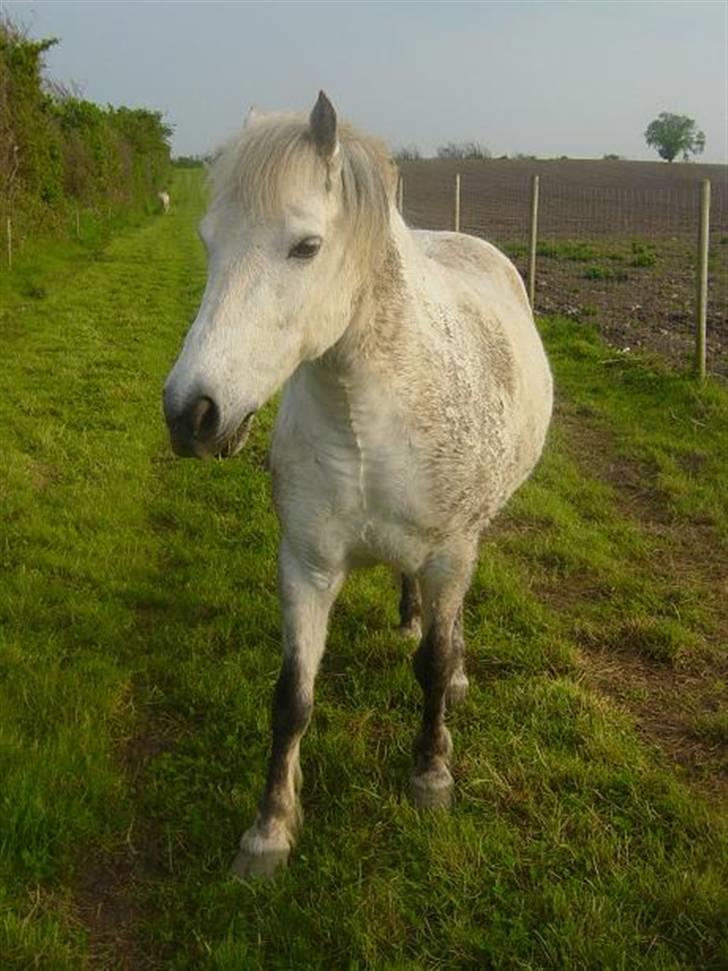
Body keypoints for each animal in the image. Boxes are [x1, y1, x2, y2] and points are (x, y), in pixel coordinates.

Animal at [165, 93, 552, 880]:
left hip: (465, 544)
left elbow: (431, 665)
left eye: (305, 247)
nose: (191, 413)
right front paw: (269, 832)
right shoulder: (307, 566)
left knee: (447, 630)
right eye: (209, 242)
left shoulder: (449, 554)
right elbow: (292, 698)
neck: (368, 417)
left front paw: (430, 774)